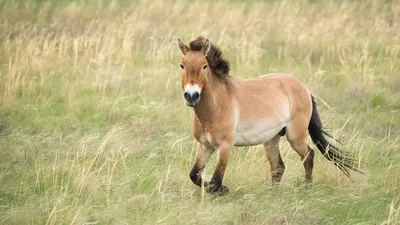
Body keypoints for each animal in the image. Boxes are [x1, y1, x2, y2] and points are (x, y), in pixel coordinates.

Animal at [177, 36, 360, 194]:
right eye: (182, 65)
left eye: (204, 65)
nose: (191, 96)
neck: (215, 106)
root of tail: (304, 89)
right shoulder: (205, 146)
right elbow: (194, 175)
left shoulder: (224, 146)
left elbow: (216, 180)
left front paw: (222, 190)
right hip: (271, 139)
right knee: (278, 166)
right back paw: (273, 193)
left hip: (295, 137)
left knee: (308, 155)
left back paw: (307, 187)